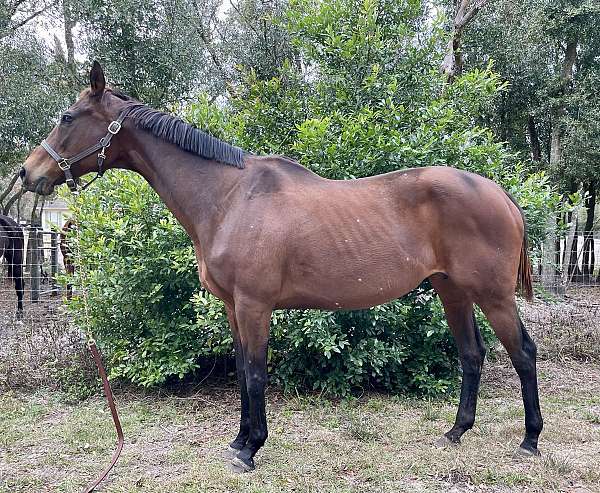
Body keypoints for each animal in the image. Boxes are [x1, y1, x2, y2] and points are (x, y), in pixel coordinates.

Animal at [19, 63, 544, 470]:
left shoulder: (255, 305)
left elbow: (254, 372)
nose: (27, 173)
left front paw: (250, 450)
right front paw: (238, 440)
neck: (228, 198)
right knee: (472, 354)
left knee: (522, 354)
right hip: (451, 290)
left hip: (493, 295)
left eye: (67, 117)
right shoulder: (233, 307)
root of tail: (500, 194)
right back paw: (456, 432)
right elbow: (239, 369)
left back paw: (529, 441)